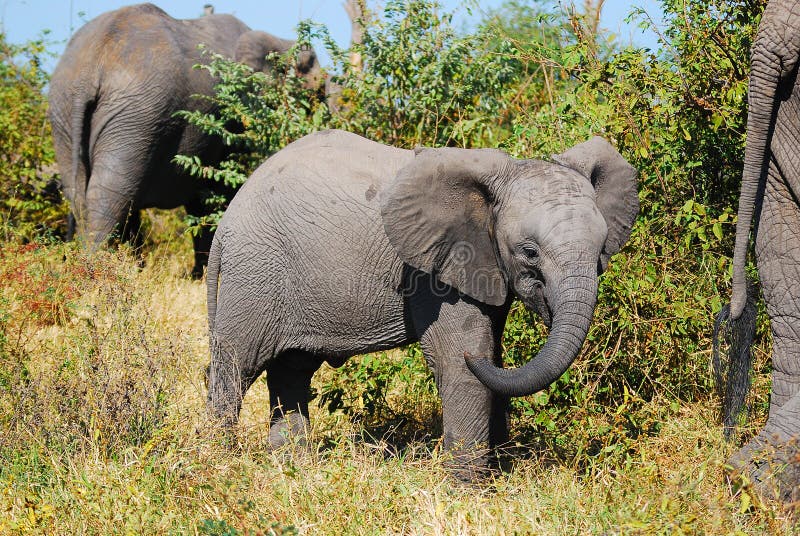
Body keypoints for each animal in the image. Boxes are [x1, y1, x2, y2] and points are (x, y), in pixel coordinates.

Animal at [47, 4, 320, 278]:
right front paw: (202, 275)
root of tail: (89, 69)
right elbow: (215, 189)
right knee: (110, 191)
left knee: (81, 192)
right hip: (137, 112)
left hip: (69, 111)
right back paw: (99, 270)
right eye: (310, 70)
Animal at [205, 129, 636, 478]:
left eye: (602, 249)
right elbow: (462, 361)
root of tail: (226, 222)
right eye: (529, 253)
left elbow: (492, 362)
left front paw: (497, 478)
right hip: (255, 272)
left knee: (290, 371)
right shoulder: (433, 272)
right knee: (235, 367)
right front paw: (469, 492)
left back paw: (293, 469)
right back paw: (219, 464)